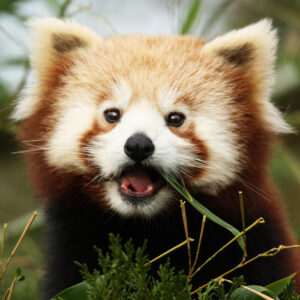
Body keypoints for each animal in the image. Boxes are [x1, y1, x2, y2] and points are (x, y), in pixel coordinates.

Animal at [12, 18, 300, 298]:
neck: (148, 230)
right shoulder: (72, 244)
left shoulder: (254, 237)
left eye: (175, 118)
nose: (138, 145)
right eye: (112, 114)